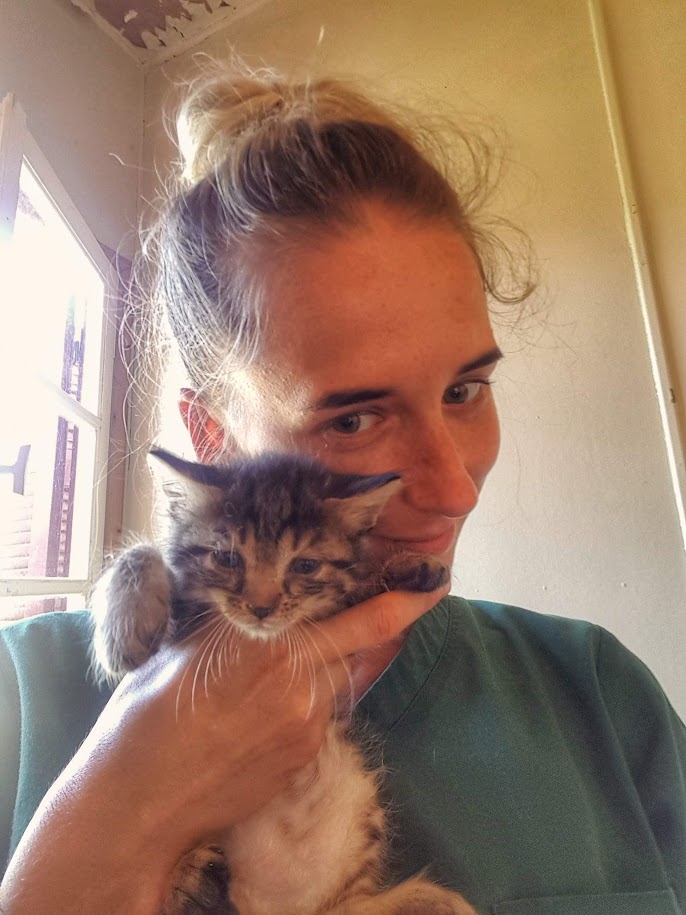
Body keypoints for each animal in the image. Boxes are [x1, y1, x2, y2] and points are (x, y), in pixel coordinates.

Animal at [91, 450, 478, 915]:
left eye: (305, 565)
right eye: (228, 558)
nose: (262, 607)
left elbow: (364, 581)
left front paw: (411, 564)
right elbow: (141, 548)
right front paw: (125, 627)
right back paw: (189, 881)